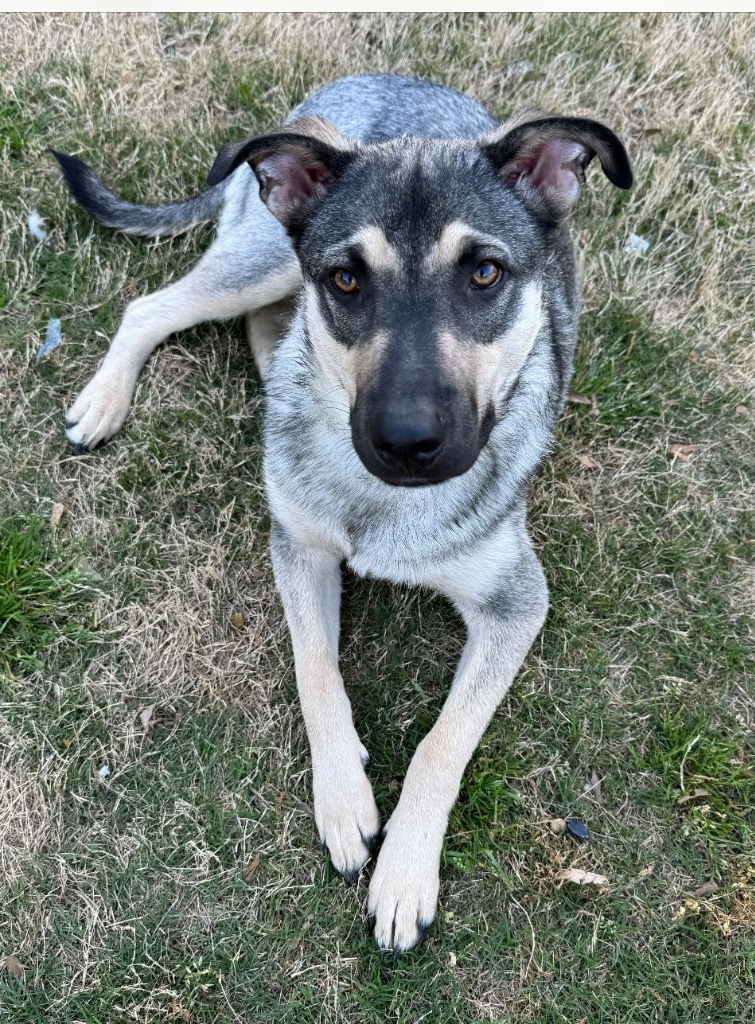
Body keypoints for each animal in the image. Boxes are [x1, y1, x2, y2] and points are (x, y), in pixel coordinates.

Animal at [54, 72, 631, 950]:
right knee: (155, 307)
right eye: (347, 280)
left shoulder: (514, 603)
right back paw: (106, 399)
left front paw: (404, 873)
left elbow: (442, 740)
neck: (384, 504)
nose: (407, 442)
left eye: (484, 274)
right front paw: (343, 803)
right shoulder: (298, 549)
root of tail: (370, 80)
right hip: (261, 260)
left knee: (260, 330)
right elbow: (314, 666)